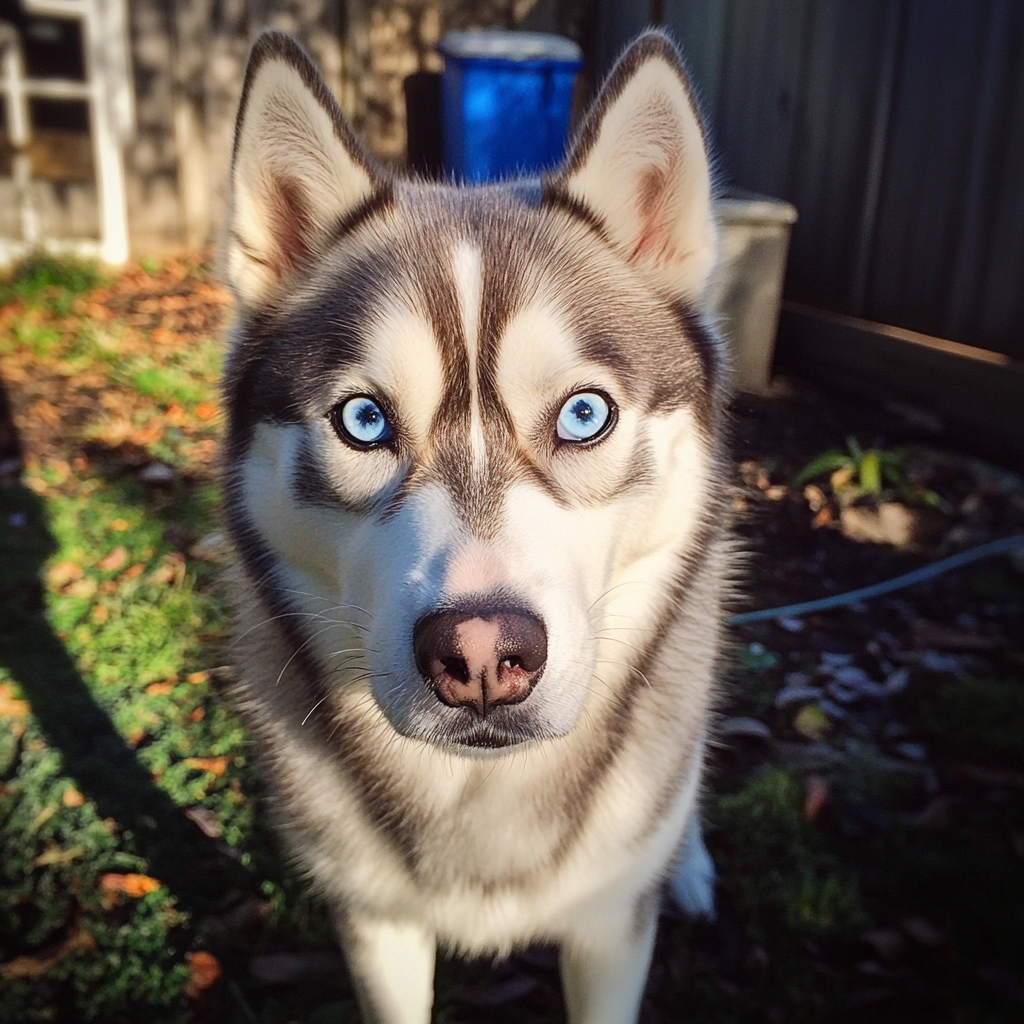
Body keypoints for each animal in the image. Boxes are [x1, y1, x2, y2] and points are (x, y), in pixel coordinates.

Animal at [222, 28, 729, 1024]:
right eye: (363, 422)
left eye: (583, 415)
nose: (484, 653)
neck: (480, 794)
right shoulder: (376, 922)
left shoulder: (608, 929)